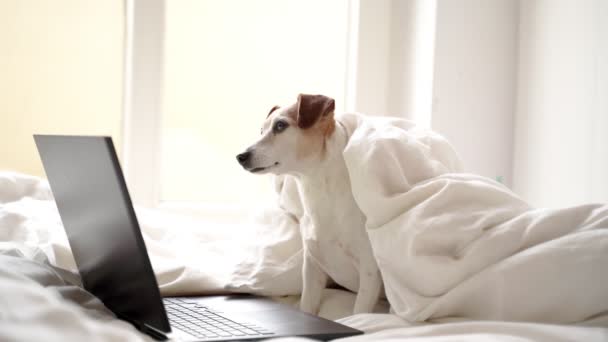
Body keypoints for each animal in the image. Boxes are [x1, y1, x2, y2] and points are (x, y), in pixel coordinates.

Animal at [236, 93, 382, 316]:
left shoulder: (370, 272)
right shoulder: (313, 269)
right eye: (261, 130)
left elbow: (359, 314)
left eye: (280, 126)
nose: (240, 156)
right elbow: (307, 306)